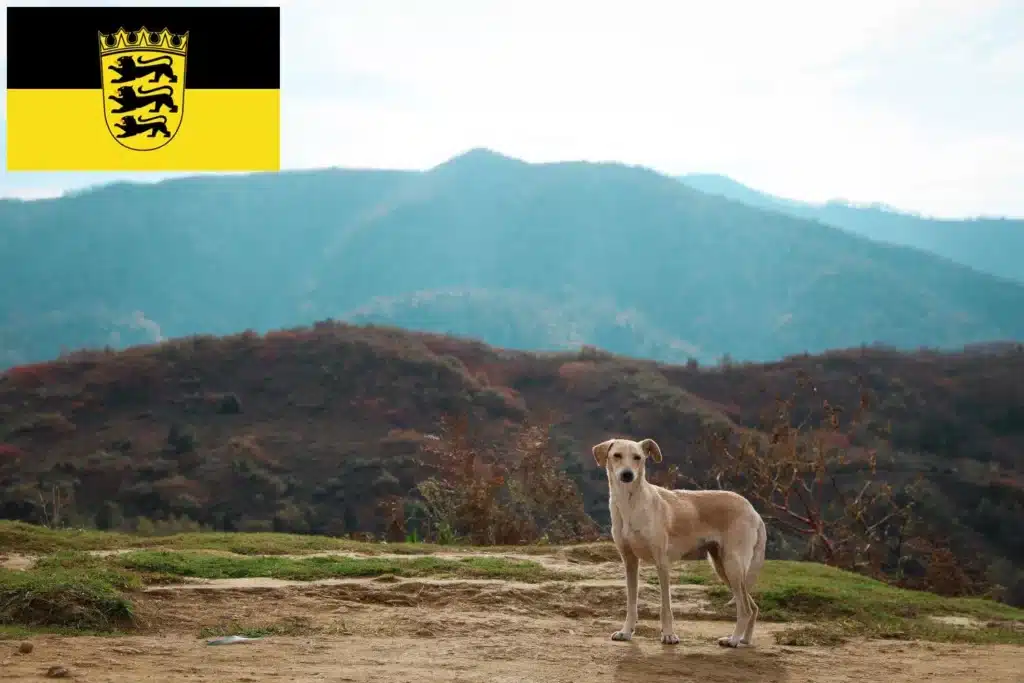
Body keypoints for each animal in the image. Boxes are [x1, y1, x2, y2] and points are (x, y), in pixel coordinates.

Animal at [593, 438, 770, 647]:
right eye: (617, 455)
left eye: (638, 457)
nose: (627, 475)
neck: (631, 503)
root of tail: (752, 509)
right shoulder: (629, 562)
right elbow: (632, 603)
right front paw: (626, 632)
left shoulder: (662, 563)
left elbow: (666, 606)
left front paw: (669, 635)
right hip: (722, 567)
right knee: (754, 607)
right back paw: (744, 639)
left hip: (733, 565)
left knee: (745, 609)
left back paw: (733, 640)